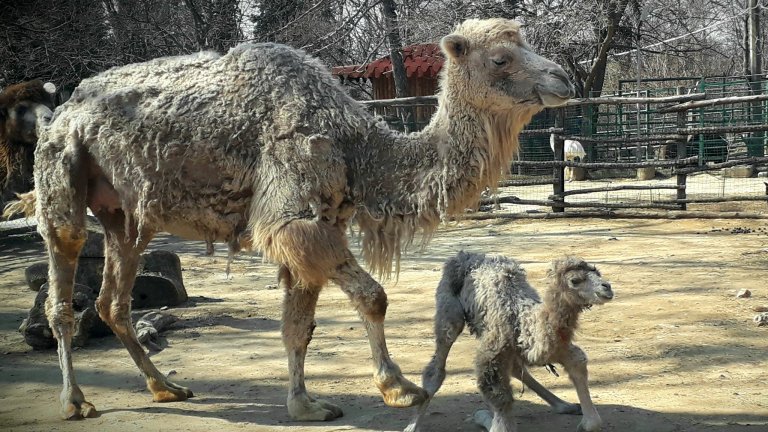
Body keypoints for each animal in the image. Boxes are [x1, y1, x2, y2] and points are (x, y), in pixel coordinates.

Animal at [404, 251, 616, 430]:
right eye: (575, 280)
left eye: (598, 273)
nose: (607, 287)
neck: (524, 323)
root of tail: (463, 255)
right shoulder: (493, 353)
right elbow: (500, 411)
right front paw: (482, 415)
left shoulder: (559, 348)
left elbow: (578, 366)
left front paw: (581, 418)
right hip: (449, 310)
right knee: (437, 366)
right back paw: (412, 426)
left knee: (516, 368)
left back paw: (565, 405)